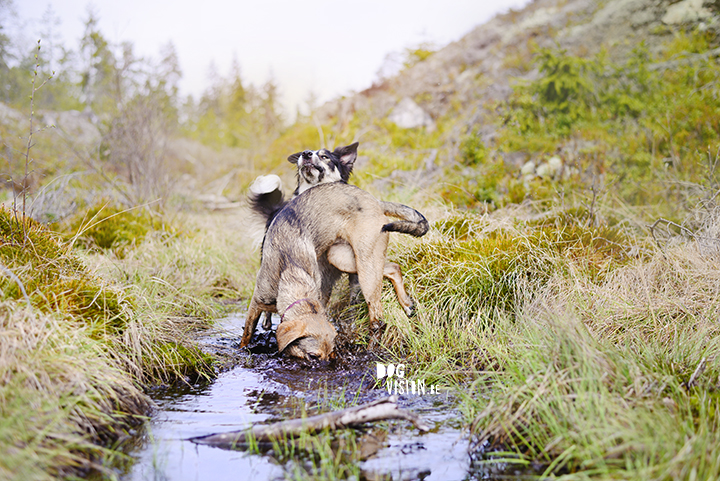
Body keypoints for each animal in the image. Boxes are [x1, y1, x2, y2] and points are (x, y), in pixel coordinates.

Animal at [240, 182, 428, 358]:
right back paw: (407, 303)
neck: (292, 271)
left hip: (365, 268)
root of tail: (375, 201)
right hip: (343, 258)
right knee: (393, 267)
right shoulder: (256, 303)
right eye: (313, 356)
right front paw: (243, 349)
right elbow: (247, 334)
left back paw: (371, 348)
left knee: (378, 320)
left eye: (331, 353)